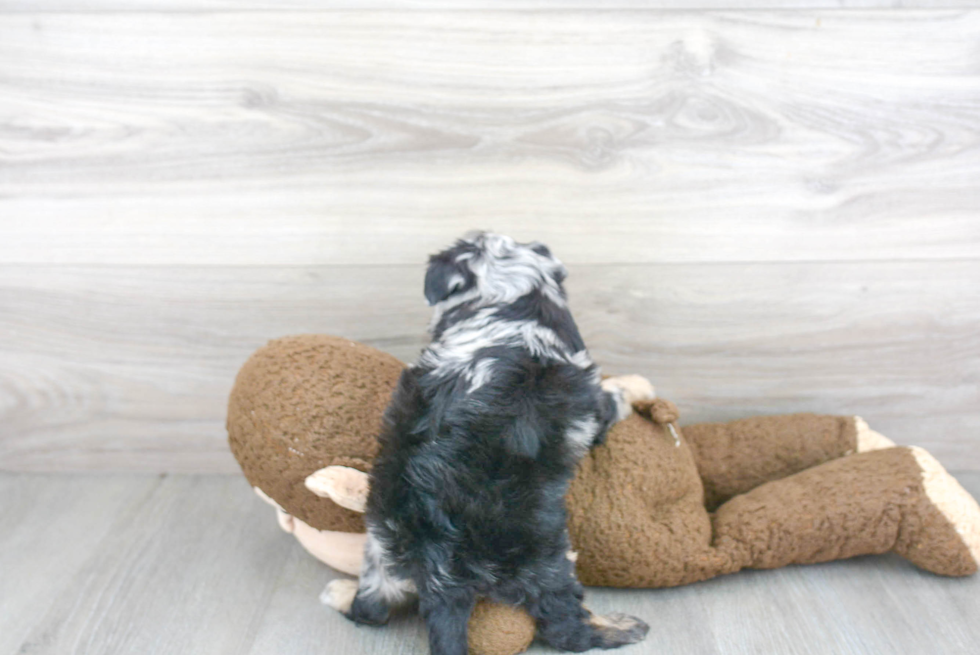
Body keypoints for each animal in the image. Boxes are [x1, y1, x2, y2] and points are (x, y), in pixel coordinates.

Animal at [326, 233, 656, 655]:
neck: (512, 301)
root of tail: (438, 567)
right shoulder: (594, 406)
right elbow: (616, 393)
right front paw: (639, 384)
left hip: (380, 548)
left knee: (371, 608)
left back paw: (340, 592)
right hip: (544, 563)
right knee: (566, 628)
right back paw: (621, 626)